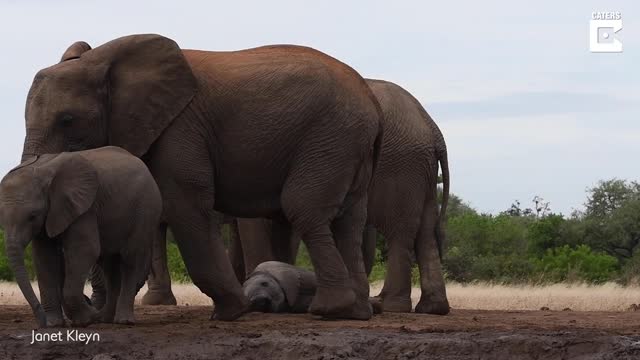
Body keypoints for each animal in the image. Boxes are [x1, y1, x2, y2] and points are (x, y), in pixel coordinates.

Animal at [0, 146, 162, 326]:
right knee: (109, 265)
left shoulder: (85, 208)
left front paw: (84, 320)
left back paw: (122, 321)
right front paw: (55, 324)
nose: (42, 323)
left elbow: (85, 250)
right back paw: (105, 319)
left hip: (145, 211)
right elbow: (44, 256)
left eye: (32, 216)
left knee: (130, 260)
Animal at [18, 33, 380, 320]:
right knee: (349, 220)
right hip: (346, 145)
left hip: (329, 137)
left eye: (67, 120)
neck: (105, 58)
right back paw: (356, 312)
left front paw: (232, 313)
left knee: (304, 209)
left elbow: (184, 203)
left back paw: (330, 310)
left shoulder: (180, 129)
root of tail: (370, 99)